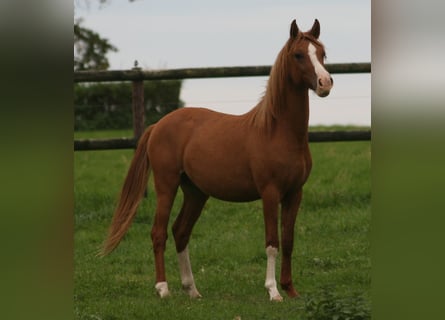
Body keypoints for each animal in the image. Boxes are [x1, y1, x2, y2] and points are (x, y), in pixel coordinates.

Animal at [100, 18, 330, 302]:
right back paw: (163, 288)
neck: (277, 131)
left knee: (180, 231)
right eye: (298, 55)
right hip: (167, 186)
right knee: (159, 233)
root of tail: (158, 125)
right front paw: (273, 291)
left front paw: (291, 289)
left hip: (196, 192)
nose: (325, 83)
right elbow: (272, 243)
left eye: (322, 53)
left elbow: (288, 241)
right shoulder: (270, 193)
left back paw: (192, 289)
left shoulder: (295, 193)